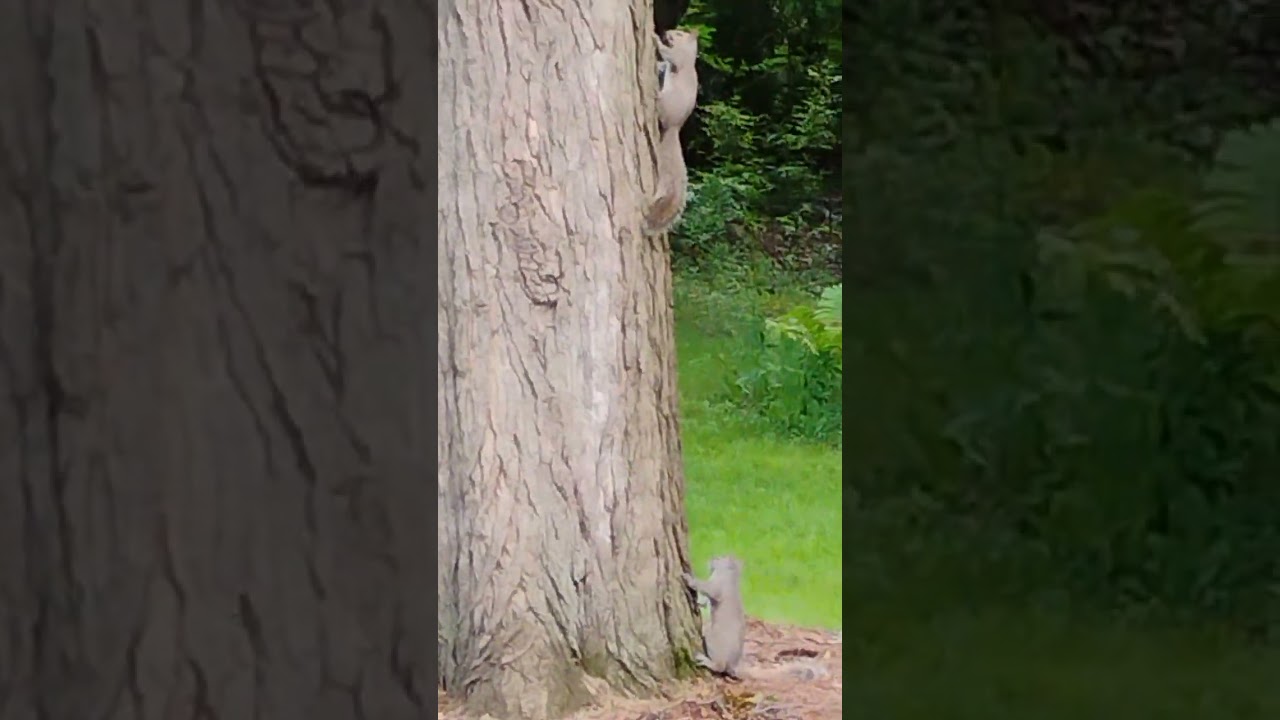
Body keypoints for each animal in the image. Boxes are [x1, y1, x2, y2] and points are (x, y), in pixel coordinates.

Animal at [643, 28, 699, 236]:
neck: (689, 53)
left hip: (667, 103)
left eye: (680, 33)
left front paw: (655, 39)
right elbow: (664, 62)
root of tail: (675, 127)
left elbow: (667, 53)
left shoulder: (678, 57)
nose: (667, 32)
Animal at [683, 556, 828, 682]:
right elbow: (705, 602)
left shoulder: (718, 586)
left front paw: (688, 579)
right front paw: (698, 602)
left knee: (719, 666)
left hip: (714, 639)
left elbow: (707, 588)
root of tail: (733, 665)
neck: (732, 577)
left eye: (720, 558)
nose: (712, 558)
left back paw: (705, 660)